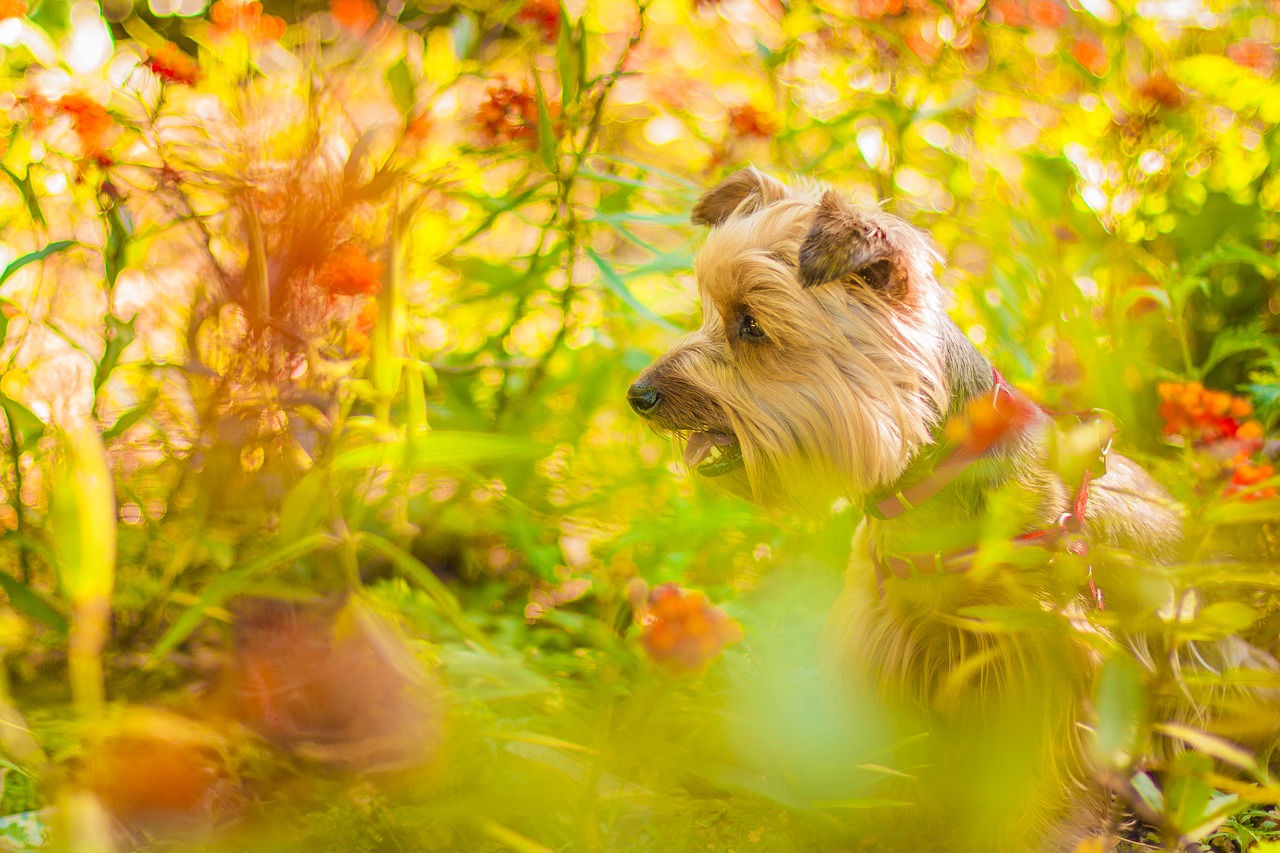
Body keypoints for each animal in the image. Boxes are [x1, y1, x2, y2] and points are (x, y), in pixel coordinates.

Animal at [629, 166, 1228, 845]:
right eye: (709, 312)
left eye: (751, 324)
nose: (638, 395)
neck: (924, 487)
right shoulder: (881, 638)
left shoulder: (1052, 661)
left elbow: (1046, 776)